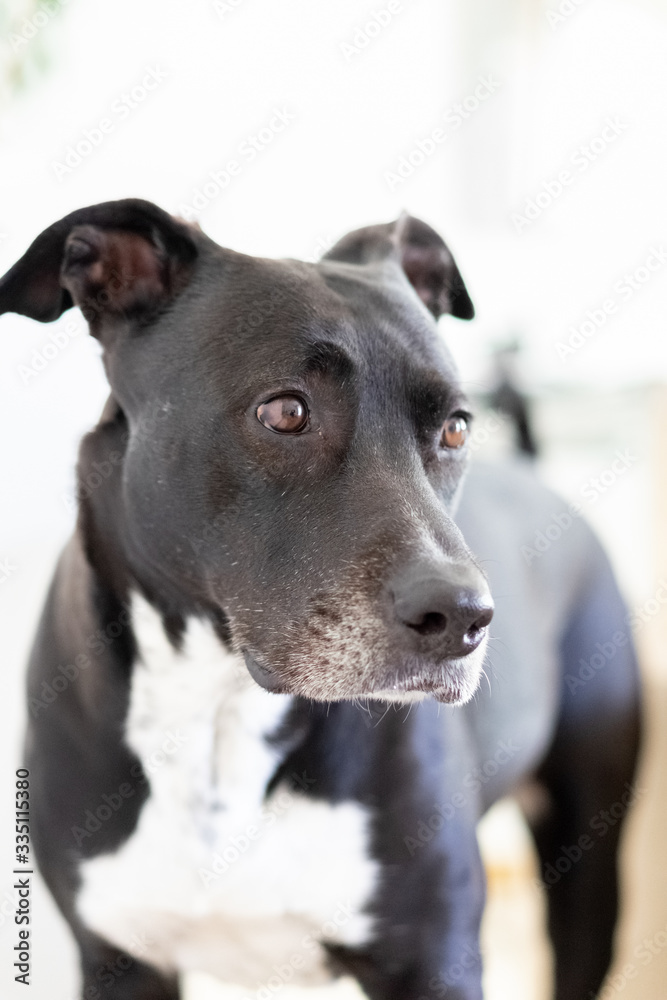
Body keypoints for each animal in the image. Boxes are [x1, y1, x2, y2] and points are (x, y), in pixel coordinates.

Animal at [0, 199, 640, 996]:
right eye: (285, 413)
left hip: (589, 869)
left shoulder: (433, 956)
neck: (219, 704)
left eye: (456, 427)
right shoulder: (120, 961)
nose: (463, 619)